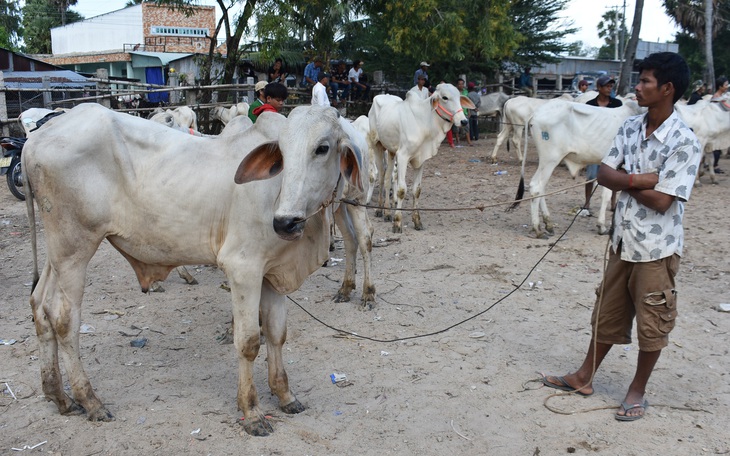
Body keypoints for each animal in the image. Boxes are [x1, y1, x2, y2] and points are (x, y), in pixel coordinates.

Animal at [22, 102, 364, 434]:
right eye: (281, 149)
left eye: (322, 148)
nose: (284, 222)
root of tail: (35, 139)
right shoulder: (243, 268)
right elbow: (249, 342)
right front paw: (251, 411)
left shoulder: (273, 273)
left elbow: (277, 335)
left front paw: (285, 396)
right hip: (74, 247)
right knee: (64, 318)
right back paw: (89, 400)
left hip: (58, 252)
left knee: (40, 305)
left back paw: (58, 395)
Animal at [366, 83, 474, 232]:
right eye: (445, 97)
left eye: (459, 97)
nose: (463, 121)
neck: (424, 122)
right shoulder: (403, 156)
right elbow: (401, 190)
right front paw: (397, 222)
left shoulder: (421, 159)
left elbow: (416, 190)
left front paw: (417, 221)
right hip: (377, 145)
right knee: (381, 177)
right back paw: (379, 210)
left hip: (391, 151)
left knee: (388, 179)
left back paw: (387, 212)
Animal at [516, 99, 636, 239]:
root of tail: (536, 113)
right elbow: (608, 194)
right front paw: (602, 226)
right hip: (550, 159)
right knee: (536, 186)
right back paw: (537, 229)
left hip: (547, 161)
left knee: (541, 188)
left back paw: (549, 224)